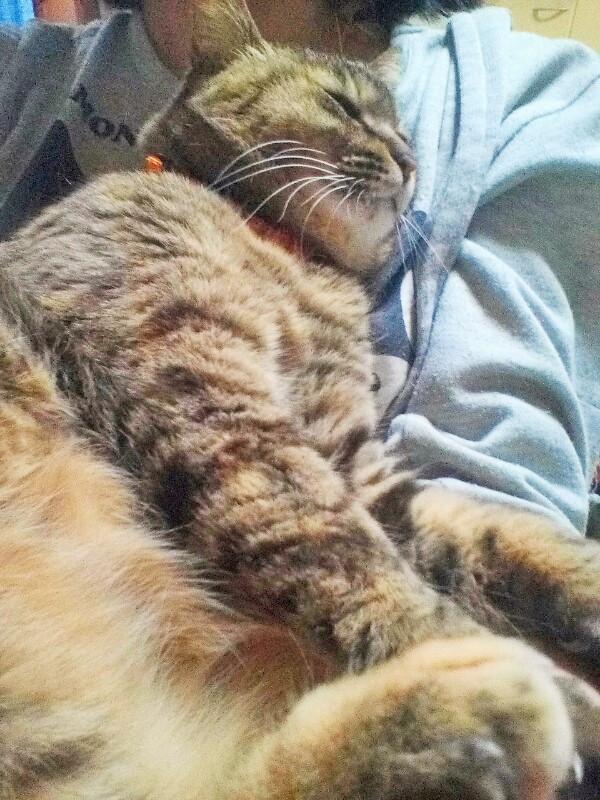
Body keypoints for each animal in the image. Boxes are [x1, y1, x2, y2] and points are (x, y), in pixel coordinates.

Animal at [0, 1, 599, 797]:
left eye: (404, 129)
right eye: (343, 106)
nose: (409, 161)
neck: (291, 258)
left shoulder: (354, 461)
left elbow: (502, 535)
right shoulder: (212, 411)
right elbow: (353, 562)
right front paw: (522, 670)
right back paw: (476, 713)